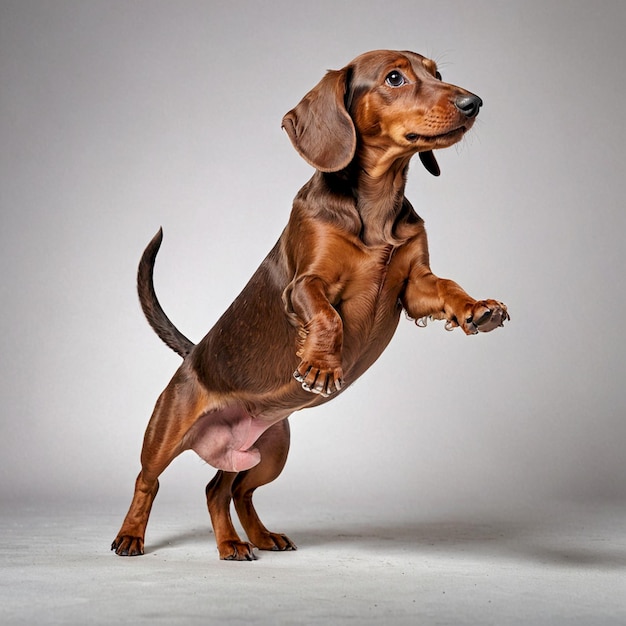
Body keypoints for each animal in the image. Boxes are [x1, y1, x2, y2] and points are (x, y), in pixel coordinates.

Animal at [111, 47, 508, 556]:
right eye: (394, 78)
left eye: (437, 72)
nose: (472, 102)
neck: (376, 204)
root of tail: (193, 354)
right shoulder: (304, 283)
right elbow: (326, 314)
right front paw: (321, 364)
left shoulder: (415, 285)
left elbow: (446, 287)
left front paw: (478, 309)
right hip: (166, 431)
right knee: (148, 481)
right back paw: (131, 536)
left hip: (270, 451)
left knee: (225, 490)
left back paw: (244, 542)